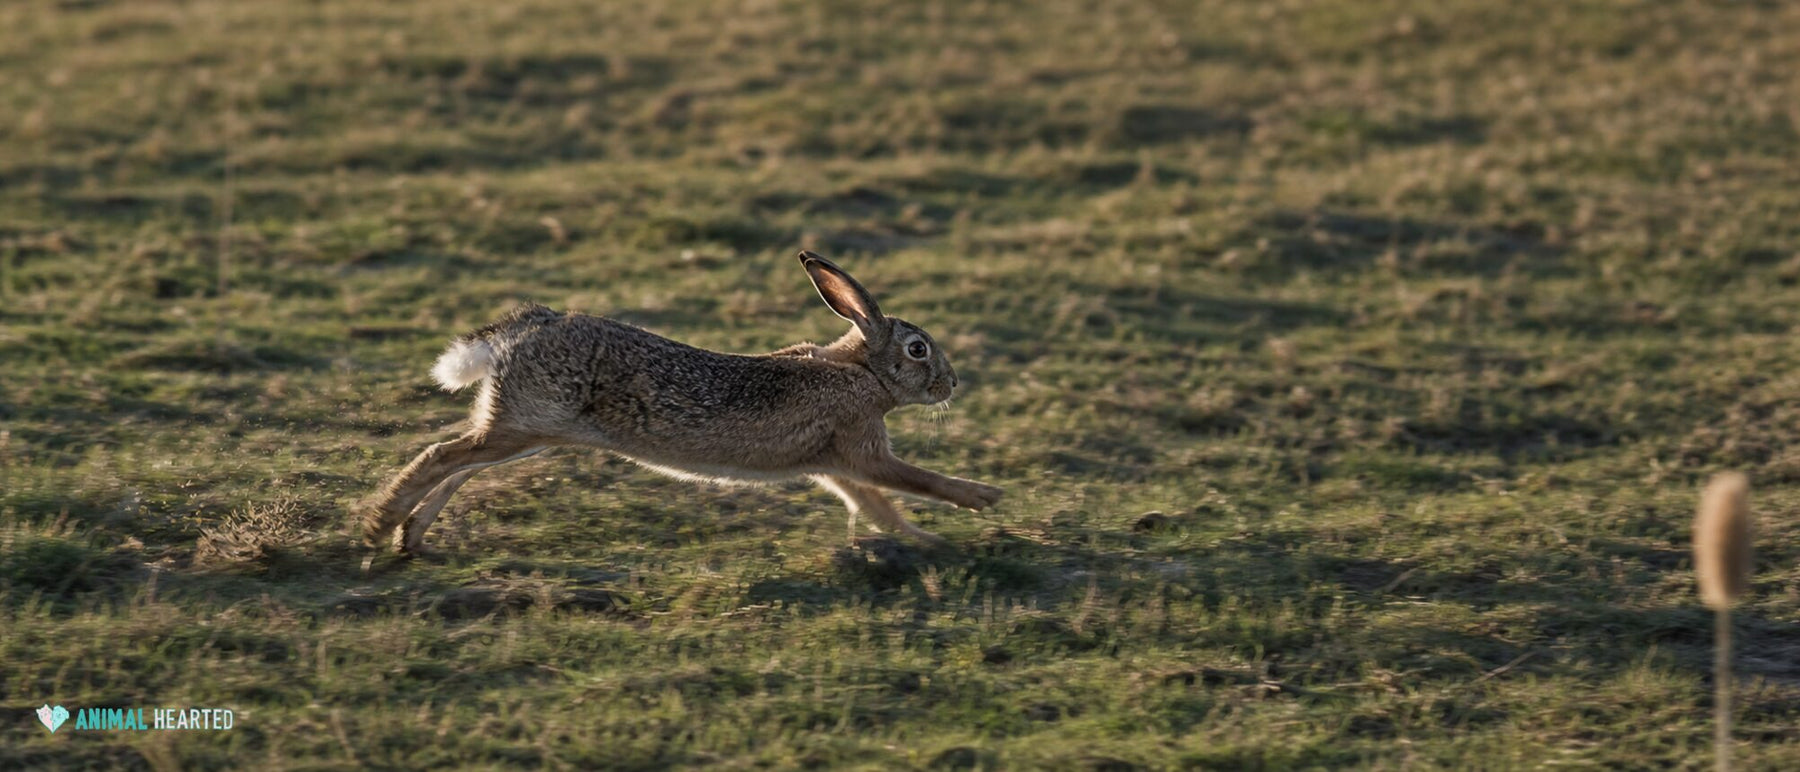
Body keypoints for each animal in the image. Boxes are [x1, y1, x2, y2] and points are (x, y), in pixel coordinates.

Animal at [360, 250, 1003, 554]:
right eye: (918, 349)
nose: (951, 385)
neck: (861, 370)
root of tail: (528, 326)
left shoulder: (835, 464)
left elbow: (876, 507)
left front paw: (926, 542)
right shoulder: (861, 448)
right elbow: (912, 480)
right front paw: (983, 500)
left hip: (522, 430)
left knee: (457, 465)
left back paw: (409, 539)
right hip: (525, 425)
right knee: (441, 457)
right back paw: (380, 526)